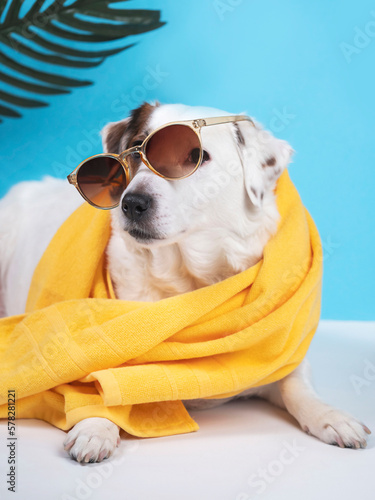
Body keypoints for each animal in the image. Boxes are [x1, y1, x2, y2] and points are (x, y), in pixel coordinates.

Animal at [0, 102, 370, 464]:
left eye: (196, 156)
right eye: (136, 151)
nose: (132, 203)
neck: (190, 282)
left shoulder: (280, 357)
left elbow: (296, 385)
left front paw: (330, 416)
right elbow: (99, 387)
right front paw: (96, 426)